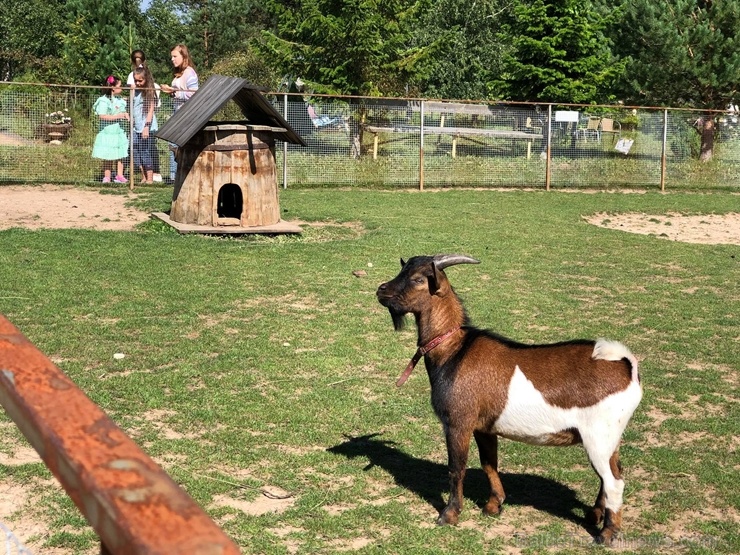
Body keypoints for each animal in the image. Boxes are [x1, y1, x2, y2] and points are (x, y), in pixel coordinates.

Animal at [376, 254, 640, 544]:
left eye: (417, 279)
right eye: (403, 268)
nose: (381, 290)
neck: (454, 350)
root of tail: (626, 366)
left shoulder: (458, 422)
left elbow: (456, 468)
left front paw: (449, 514)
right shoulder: (484, 426)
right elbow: (489, 463)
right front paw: (494, 505)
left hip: (599, 435)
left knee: (614, 481)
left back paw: (607, 533)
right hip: (611, 437)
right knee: (613, 472)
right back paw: (594, 515)